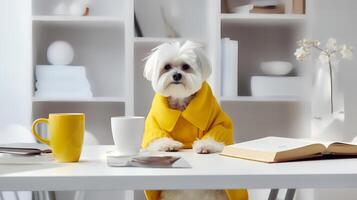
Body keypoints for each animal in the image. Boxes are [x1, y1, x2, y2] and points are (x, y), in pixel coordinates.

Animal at [143, 41, 227, 200]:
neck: (180, 99)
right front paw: (169, 145)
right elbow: (158, 137)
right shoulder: (154, 124)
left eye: (186, 66)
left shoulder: (217, 120)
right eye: (167, 67)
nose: (177, 75)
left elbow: (215, 134)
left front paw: (204, 146)